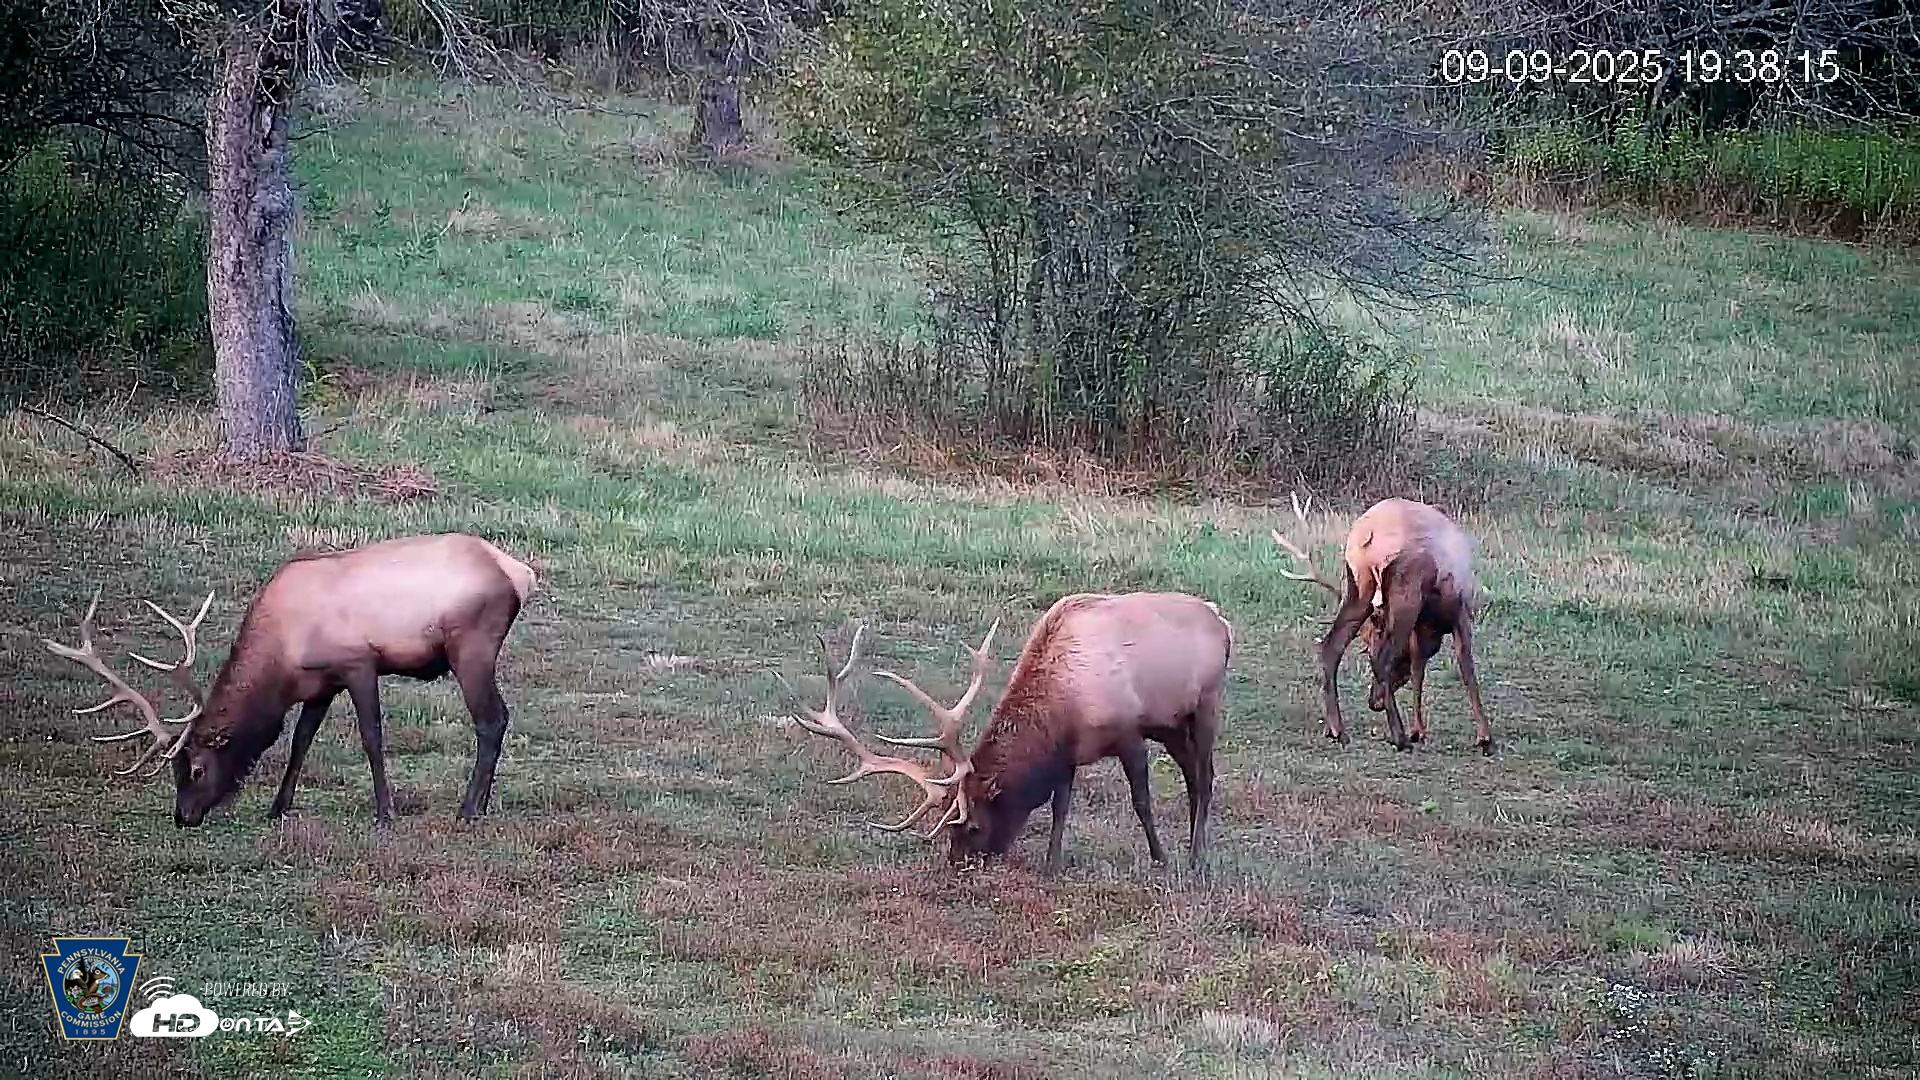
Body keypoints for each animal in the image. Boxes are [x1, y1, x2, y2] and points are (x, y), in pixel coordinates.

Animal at [40, 533, 537, 828]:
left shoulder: (358, 663)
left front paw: (384, 812)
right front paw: (278, 807)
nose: (183, 816)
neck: (284, 658)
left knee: (493, 719)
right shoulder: (322, 684)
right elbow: (300, 740)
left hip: (471, 646)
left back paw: (469, 809)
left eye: (196, 768)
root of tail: (520, 573)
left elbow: (372, 737)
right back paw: (480, 804)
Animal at [785, 592, 1232, 877]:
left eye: (973, 827)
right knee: (1193, 776)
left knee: (1205, 776)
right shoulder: (1068, 752)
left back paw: (1195, 856)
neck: (1065, 706)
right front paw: (1052, 864)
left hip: (1205, 704)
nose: (957, 864)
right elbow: (1060, 805)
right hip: (1171, 724)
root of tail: (1222, 620)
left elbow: (1141, 800)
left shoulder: (1127, 731)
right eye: (950, 828)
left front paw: (1160, 858)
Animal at [1271, 494, 1491, 754]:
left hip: (1358, 584)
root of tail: (1368, 533)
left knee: (1331, 647)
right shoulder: (1461, 611)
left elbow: (1418, 670)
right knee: (1382, 657)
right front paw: (1484, 737)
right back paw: (1399, 736)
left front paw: (1419, 731)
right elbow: (1467, 668)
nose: (1373, 701)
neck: (1432, 627)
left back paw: (1338, 730)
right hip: (1406, 589)